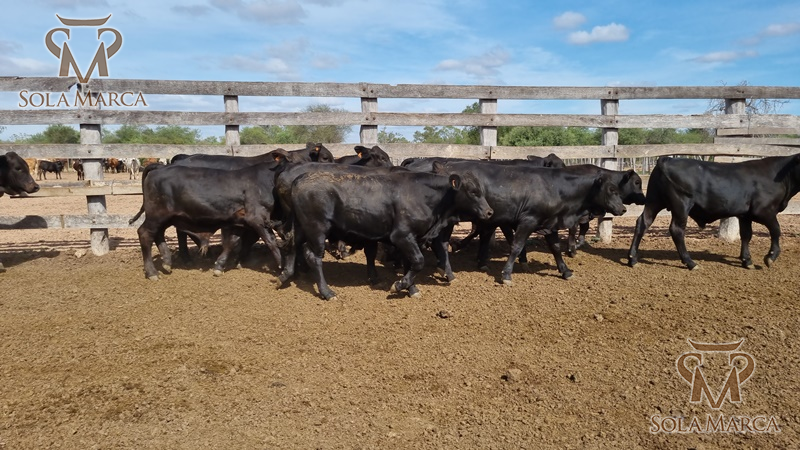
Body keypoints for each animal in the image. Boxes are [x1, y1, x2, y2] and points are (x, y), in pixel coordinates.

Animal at [133, 161, 286, 280]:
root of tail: (160, 167)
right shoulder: (257, 217)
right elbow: (271, 241)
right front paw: (282, 266)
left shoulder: (240, 220)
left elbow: (232, 242)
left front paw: (219, 265)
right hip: (156, 215)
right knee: (145, 233)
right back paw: (152, 272)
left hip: (166, 217)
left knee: (158, 233)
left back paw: (166, 261)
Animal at [283, 167, 493, 300]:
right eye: (472, 191)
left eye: (481, 191)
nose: (490, 212)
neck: (423, 195)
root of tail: (301, 178)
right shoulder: (401, 235)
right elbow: (418, 261)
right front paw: (400, 285)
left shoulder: (412, 238)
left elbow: (410, 263)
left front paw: (411, 288)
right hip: (317, 229)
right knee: (314, 257)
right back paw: (327, 292)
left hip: (301, 227)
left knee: (292, 245)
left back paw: (285, 276)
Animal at [628, 154, 800, 271]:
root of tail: (667, 159)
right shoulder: (764, 211)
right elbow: (776, 230)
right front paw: (770, 257)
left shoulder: (745, 215)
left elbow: (746, 235)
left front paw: (747, 260)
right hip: (681, 205)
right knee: (677, 230)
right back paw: (690, 262)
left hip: (653, 202)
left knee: (643, 223)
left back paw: (632, 259)